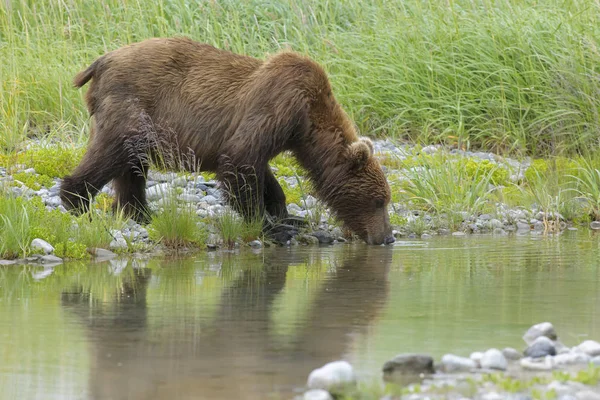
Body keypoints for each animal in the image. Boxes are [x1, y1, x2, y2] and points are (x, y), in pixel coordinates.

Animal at [59, 37, 394, 244]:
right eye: (379, 201)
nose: (387, 237)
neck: (307, 124)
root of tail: (101, 61)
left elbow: (259, 170)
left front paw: (287, 216)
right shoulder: (279, 105)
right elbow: (240, 160)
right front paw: (269, 226)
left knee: (131, 166)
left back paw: (140, 213)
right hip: (133, 108)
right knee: (112, 153)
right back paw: (78, 203)